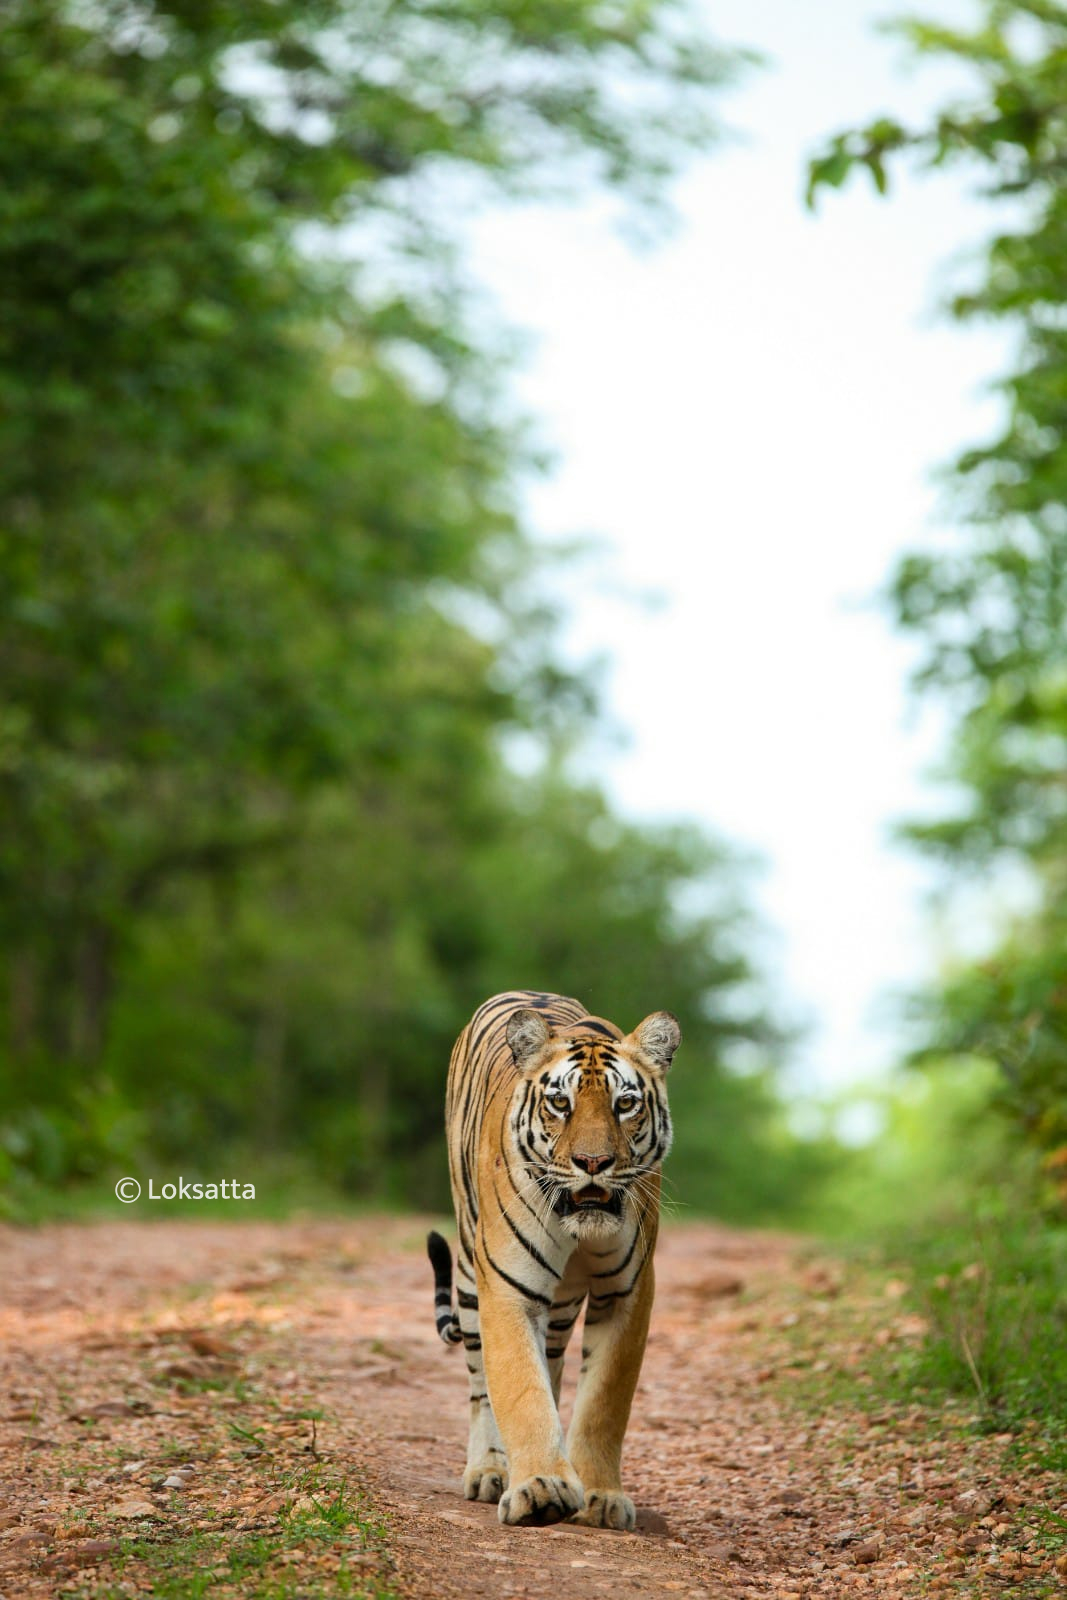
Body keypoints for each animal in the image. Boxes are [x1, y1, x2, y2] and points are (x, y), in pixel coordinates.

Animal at [422, 985, 681, 1523]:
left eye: (626, 1104)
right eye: (560, 1103)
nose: (593, 1162)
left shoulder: (627, 1293)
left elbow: (604, 1401)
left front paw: (600, 1495)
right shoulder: (507, 1288)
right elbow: (521, 1388)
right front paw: (541, 1486)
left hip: (561, 1304)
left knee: (555, 1364)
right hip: (469, 1271)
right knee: (481, 1383)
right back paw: (489, 1469)